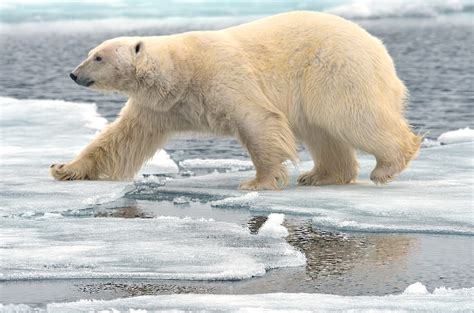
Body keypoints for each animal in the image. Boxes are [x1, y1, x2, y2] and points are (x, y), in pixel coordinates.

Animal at [52, 11, 422, 189]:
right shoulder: (159, 106)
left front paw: (257, 181)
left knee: (353, 116)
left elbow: (258, 121)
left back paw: (388, 165)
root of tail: (378, 46)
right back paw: (321, 175)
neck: (180, 72)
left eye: (98, 57)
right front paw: (64, 169)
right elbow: (121, 139)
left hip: (335, 69)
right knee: (321, 131)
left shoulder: (222, 76)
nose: (73, 74)